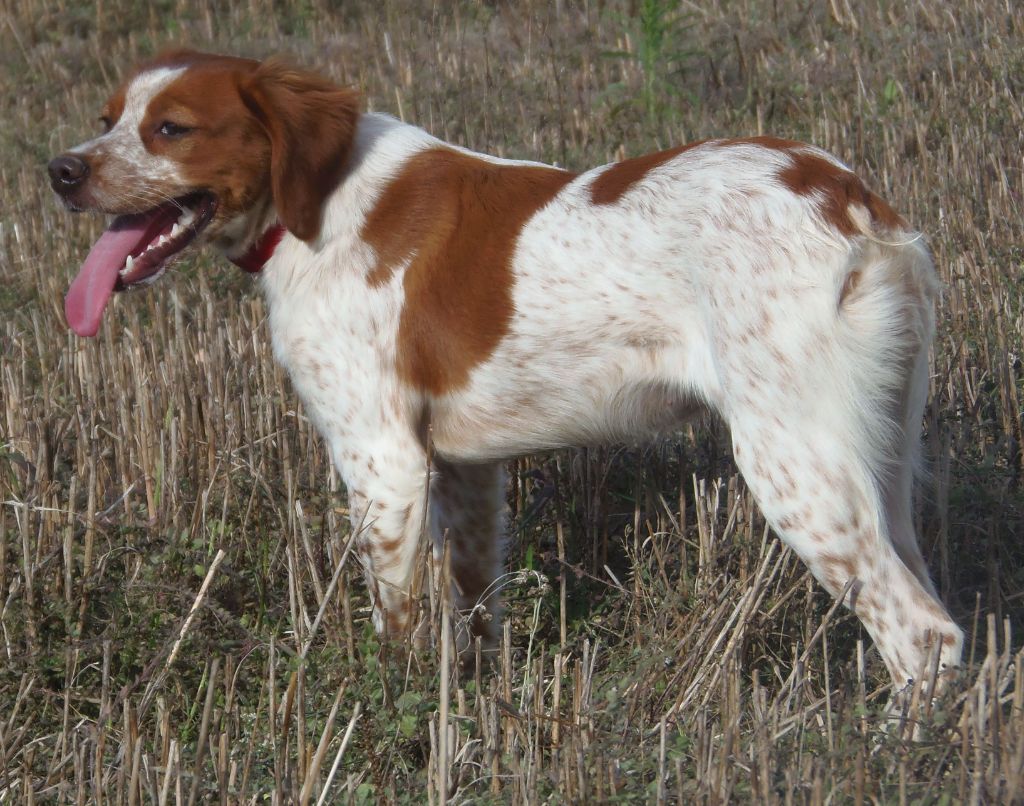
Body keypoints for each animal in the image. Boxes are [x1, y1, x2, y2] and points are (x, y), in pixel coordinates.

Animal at [48, 50, 958, 692]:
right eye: (108, 118)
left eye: (171, 128)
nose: (61, 170)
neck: (322, 199)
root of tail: (848, 199)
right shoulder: (467, 470)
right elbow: (477, 609)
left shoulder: (383, 462)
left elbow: (398, 628)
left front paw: (396, 716)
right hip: (881, 461)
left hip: (795, 461)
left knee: (923, 634)